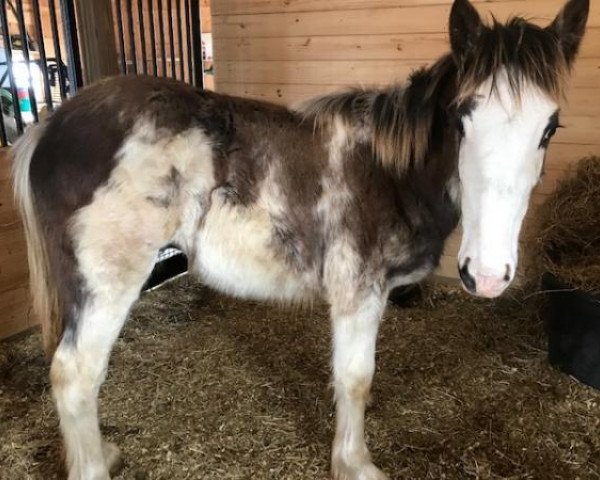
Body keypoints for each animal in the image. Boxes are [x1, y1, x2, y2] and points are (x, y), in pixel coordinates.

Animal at [11, 0, 588, 480]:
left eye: (549, 128)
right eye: (462, 119)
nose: (487, 275)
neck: (389, 172)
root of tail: (50, 126)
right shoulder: (359, 293)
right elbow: (356, 378)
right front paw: (354, 464)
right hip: (109, 283)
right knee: (76, 374)